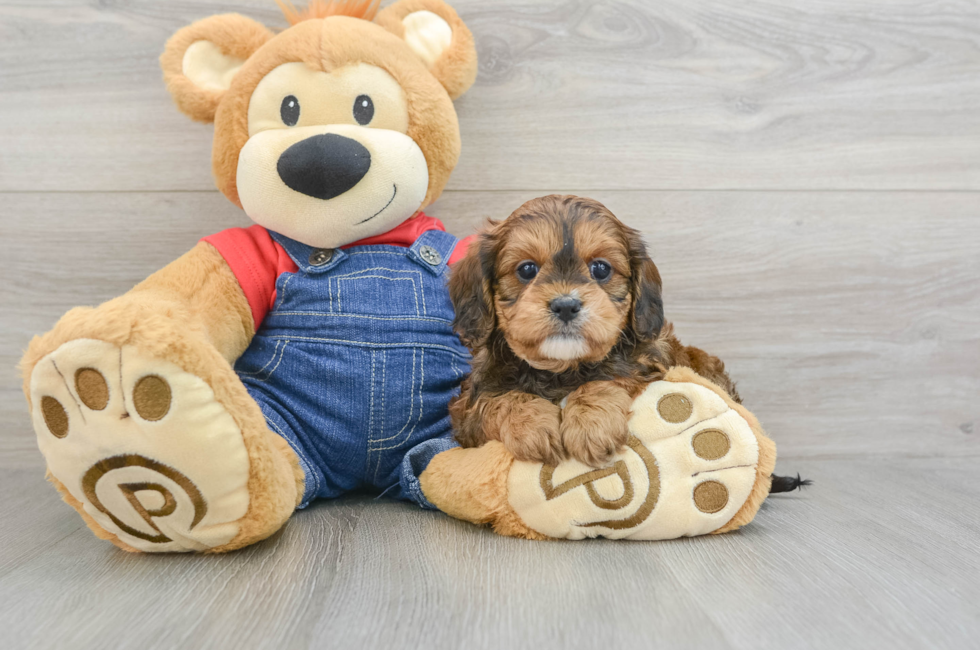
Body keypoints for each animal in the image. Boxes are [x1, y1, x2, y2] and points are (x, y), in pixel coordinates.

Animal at [448, 192, 740, 466]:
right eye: (527, 269)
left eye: (600, 269)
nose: (566, 305)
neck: (561, 369)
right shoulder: (466, 411)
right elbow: (497, 399)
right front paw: (532, 425)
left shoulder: (648, 365)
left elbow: (610, 377)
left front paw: (590, 423)